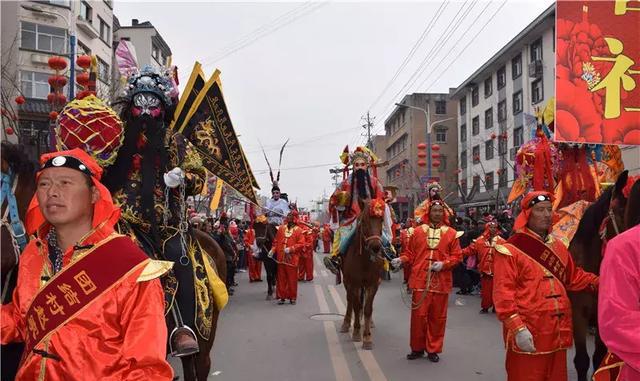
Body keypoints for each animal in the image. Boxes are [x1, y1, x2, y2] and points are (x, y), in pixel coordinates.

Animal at [340, 197, 384, 348]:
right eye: (364, 221)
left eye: (382, 220)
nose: (376, 246)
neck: (364, 261)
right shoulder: (354, 283)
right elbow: (357, 305)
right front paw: (357, 332)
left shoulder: (373, 284)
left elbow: (367, 308)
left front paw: (367, 337)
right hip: (347, 281)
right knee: (350, 301)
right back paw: (346, 323)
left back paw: (369, 322)